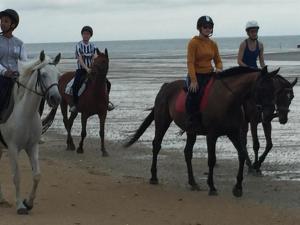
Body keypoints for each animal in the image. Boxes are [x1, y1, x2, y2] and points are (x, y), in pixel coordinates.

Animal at [0, 51, 61, 214]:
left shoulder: (32, 146)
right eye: (44, 74)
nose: (56, 98)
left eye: (58, 75)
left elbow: (37, 175)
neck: (25, 113)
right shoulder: (13, 148)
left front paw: (29, 202)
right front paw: (20, 206)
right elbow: (17, 177)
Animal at [124, 66, 276, 197]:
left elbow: (242, 155)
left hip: (191, 131)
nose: (269, 113)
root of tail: (166, 86)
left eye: (273, 88)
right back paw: (154, 177)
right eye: (262, 87)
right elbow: (212, 160)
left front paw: (238, 187)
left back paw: (193, 183)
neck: (228, 99)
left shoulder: (233, 133)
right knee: (156, 145)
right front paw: (212, 187)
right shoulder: (212, 136)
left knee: (187, 152)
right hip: (162, 121)